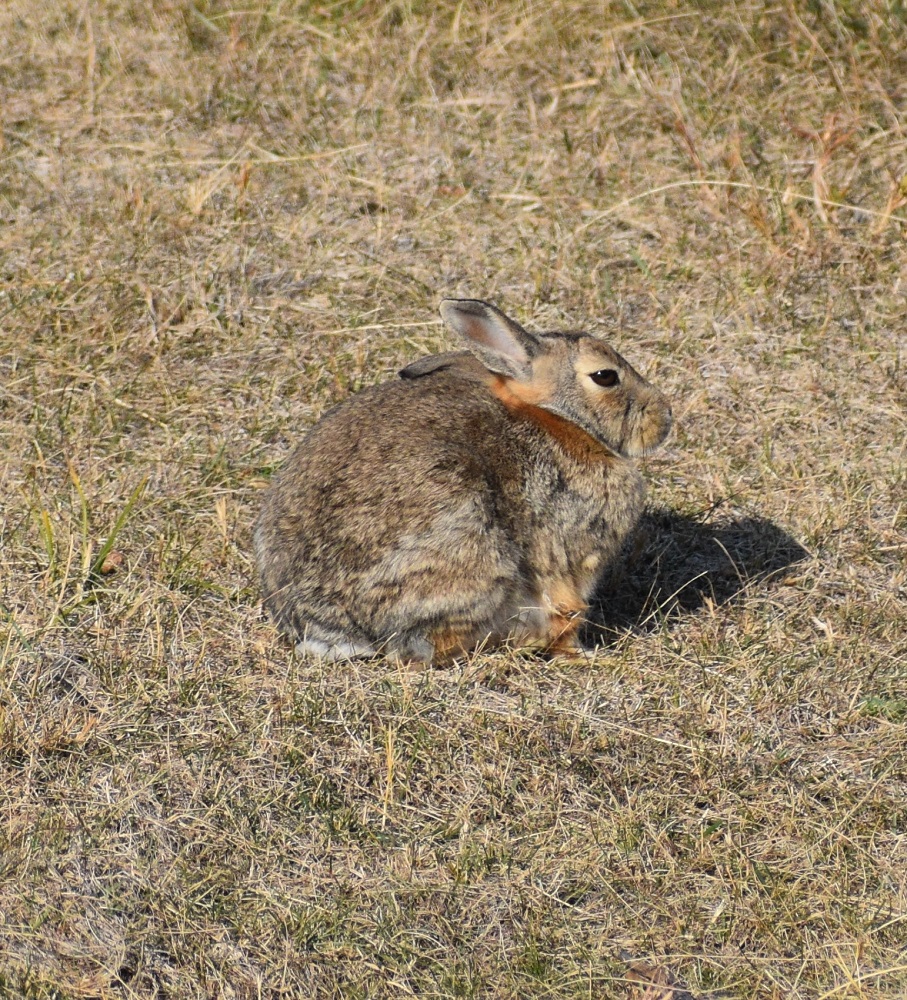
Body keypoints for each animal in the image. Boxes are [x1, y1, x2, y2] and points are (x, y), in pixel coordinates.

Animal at [254, 298, 672, 664]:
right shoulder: (569, 554)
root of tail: (331, 626)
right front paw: (582, 655)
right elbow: (566, 612)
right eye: (605, 376)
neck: (558, 419)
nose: (664, 419)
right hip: (472, 550)